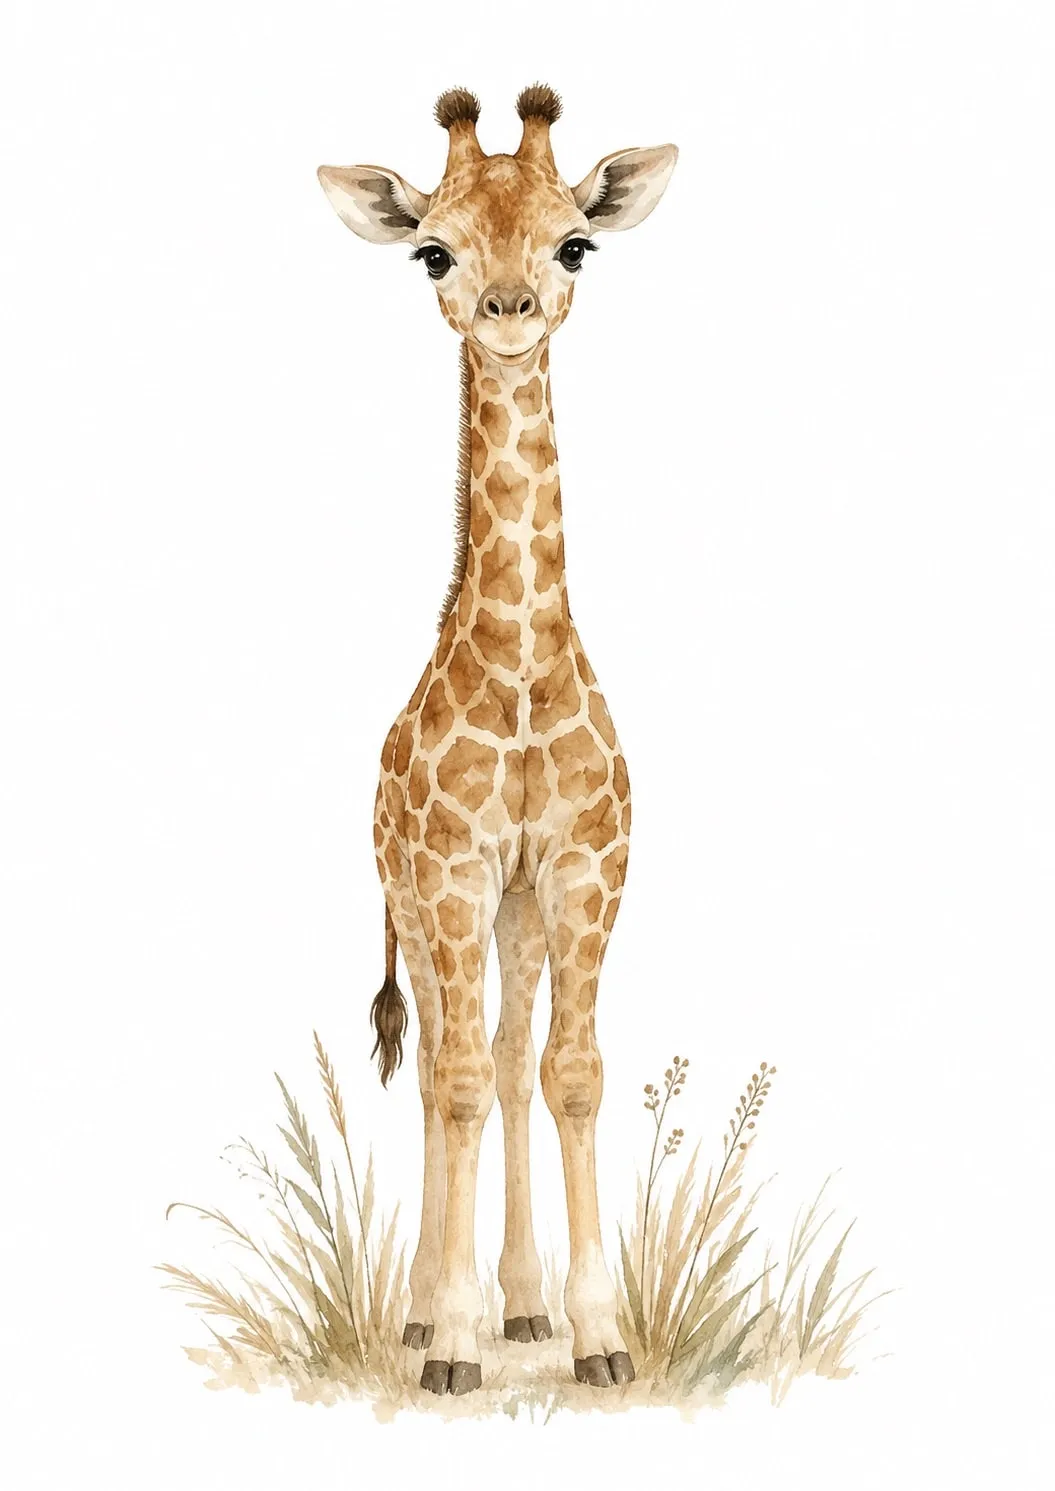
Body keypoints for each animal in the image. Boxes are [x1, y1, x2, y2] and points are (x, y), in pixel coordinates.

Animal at [318, 84, 676, 1396]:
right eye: (434, 250)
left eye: (575, 244)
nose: (509, 311)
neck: (521, 671)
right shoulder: (451, 871)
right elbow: (460, 1081)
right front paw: (452, 1343)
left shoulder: (578, 867)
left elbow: (566, 1073)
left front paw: (598, 1336)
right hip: (418, 904)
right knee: (440, 1069)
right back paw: (433, 1318)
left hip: (512, 912)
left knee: (512, 1056)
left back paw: (522, 1310)